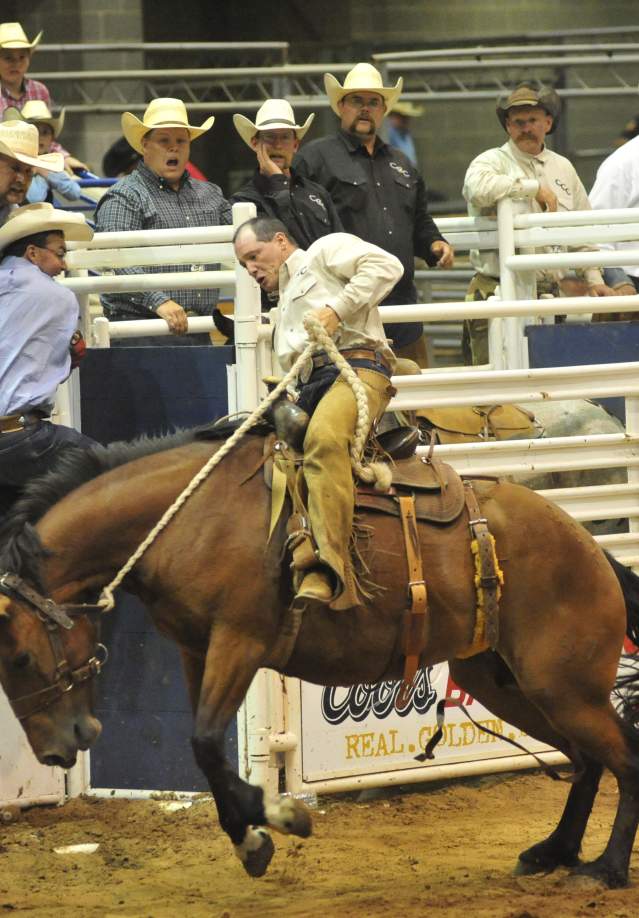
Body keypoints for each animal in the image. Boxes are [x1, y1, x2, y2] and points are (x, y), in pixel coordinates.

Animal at [0, 432, 639, 892]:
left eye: (21, 656)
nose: (57, 750)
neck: (187, 517)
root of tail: (587, 544)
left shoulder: (239, 642)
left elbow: (206, 744)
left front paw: (283, 818)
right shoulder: (195, 651)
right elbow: (206, 753)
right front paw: (251, 843)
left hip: (564, 688)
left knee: (623, 760)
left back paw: (604, 870)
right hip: (511, 685)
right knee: (587, 762)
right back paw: (554, 851)